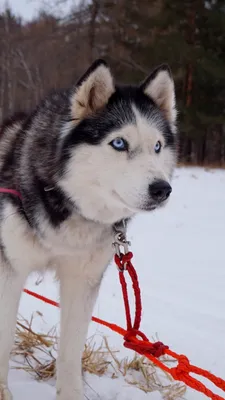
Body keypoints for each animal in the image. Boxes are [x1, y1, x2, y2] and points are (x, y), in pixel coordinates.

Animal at [0, 60, 177, 400]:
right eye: (119, 143)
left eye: (158, 146)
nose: (162, 189)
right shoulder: (8, 273)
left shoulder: (82, 281)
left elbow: (71, 352)